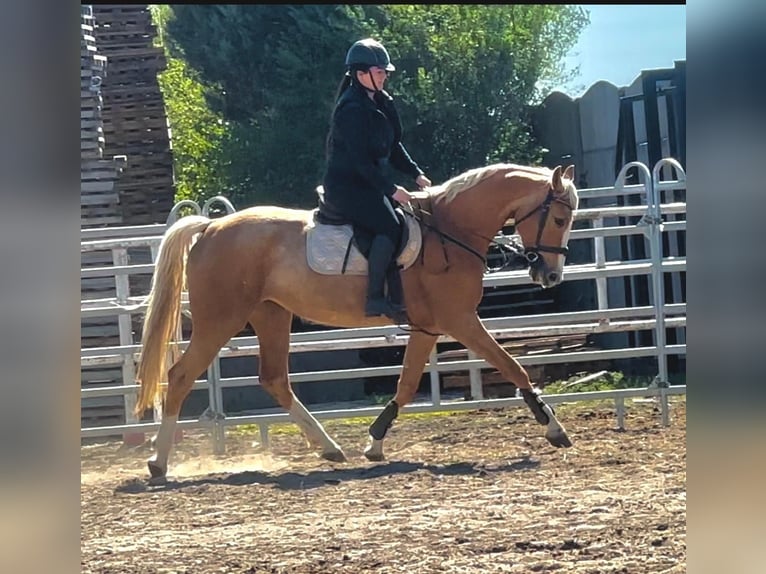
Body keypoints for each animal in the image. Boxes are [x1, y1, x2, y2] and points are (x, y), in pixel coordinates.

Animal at [135, 162, 579, 482]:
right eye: (559, 219)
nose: (551, 275)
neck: (450, 230)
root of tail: (210, 226)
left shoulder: (428, 327)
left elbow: (407, 383)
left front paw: (375, 443)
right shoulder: (460, 321)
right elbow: (513, 366)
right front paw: (554, 428)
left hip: (271, 314)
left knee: (275, 379)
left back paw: (330, 448)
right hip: (220, 320)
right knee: (180, 376)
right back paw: (158, 463)